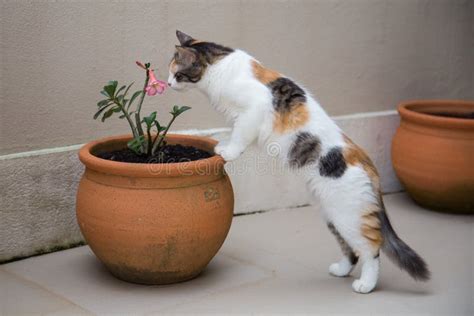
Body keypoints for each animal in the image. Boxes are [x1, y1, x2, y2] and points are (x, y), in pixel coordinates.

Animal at [167, 30, 430, 294]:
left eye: (177, 73)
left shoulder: (252, 111)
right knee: (351, 249)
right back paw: (341, 270)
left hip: (349, 216)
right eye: (169, 73)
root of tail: (367, 163)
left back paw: (366, 284)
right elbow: (231, 132)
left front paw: (228, 151)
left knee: (370, 248)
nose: (167, 84)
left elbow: (239, 135)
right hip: (333, 215)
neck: (221, 65)